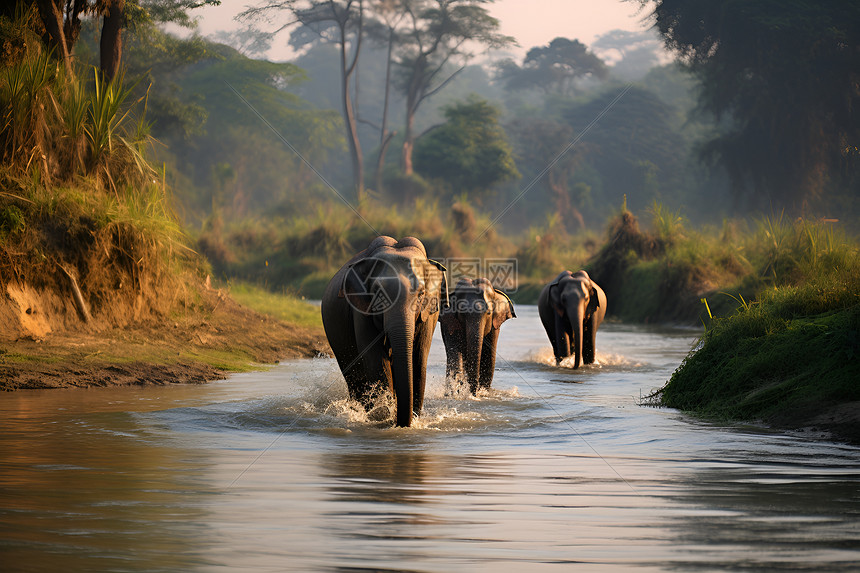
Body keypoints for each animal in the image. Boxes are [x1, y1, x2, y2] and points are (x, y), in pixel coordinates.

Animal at [320, 235, 446, 426]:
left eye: (420, 294)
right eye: (378, 293)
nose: (401, 422)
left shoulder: (428, 315)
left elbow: (418, 360)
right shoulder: (361, 312)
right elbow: (377, 362)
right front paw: (384, 417)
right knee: (354, 376)